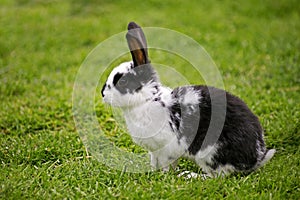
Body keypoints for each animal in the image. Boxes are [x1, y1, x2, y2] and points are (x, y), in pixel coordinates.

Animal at [102, 21, 276, 178]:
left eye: (122, 82)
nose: (103, 94)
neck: (148, 100)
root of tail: (256, 157)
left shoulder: (166, 149)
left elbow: (166, 164)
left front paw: (163, 176)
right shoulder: (155, 151)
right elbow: (155, 162)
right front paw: (152, 172)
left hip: (209, 154)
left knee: (218, 175)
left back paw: (190, 175)